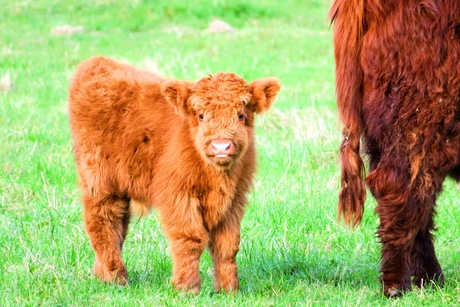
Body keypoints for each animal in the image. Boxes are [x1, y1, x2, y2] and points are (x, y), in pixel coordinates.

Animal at [66, 56, 278, 294]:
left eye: (241, 115)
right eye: (200, 115)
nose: (221, 146)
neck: (217, 176)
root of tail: (98, 62)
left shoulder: (234, 202)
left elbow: (227, 246)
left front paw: (229, 290)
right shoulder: (178, 196)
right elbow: (190, 239)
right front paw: (187, 288)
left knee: (119, 225)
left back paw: (101, 274)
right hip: (99, 180)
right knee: (103, 222)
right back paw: (115, 278)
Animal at [328, 0, 460, 298]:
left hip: (382, 141)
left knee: (418, 207)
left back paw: (429, 279)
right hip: (419, 128)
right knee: (403, 194)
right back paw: (398, 285)